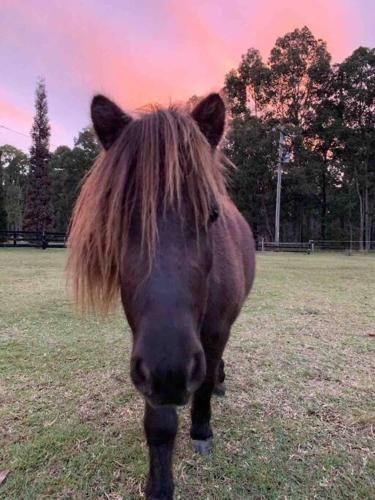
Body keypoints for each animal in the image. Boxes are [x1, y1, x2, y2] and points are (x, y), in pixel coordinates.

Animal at [67, 93, 256, 496]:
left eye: (211, 215)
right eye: (119, 218)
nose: (171, 372)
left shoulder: (210, 333)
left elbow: (203, 384)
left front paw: (201, 431)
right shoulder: (149, 354)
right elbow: (159, 423)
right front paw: (159, 486)